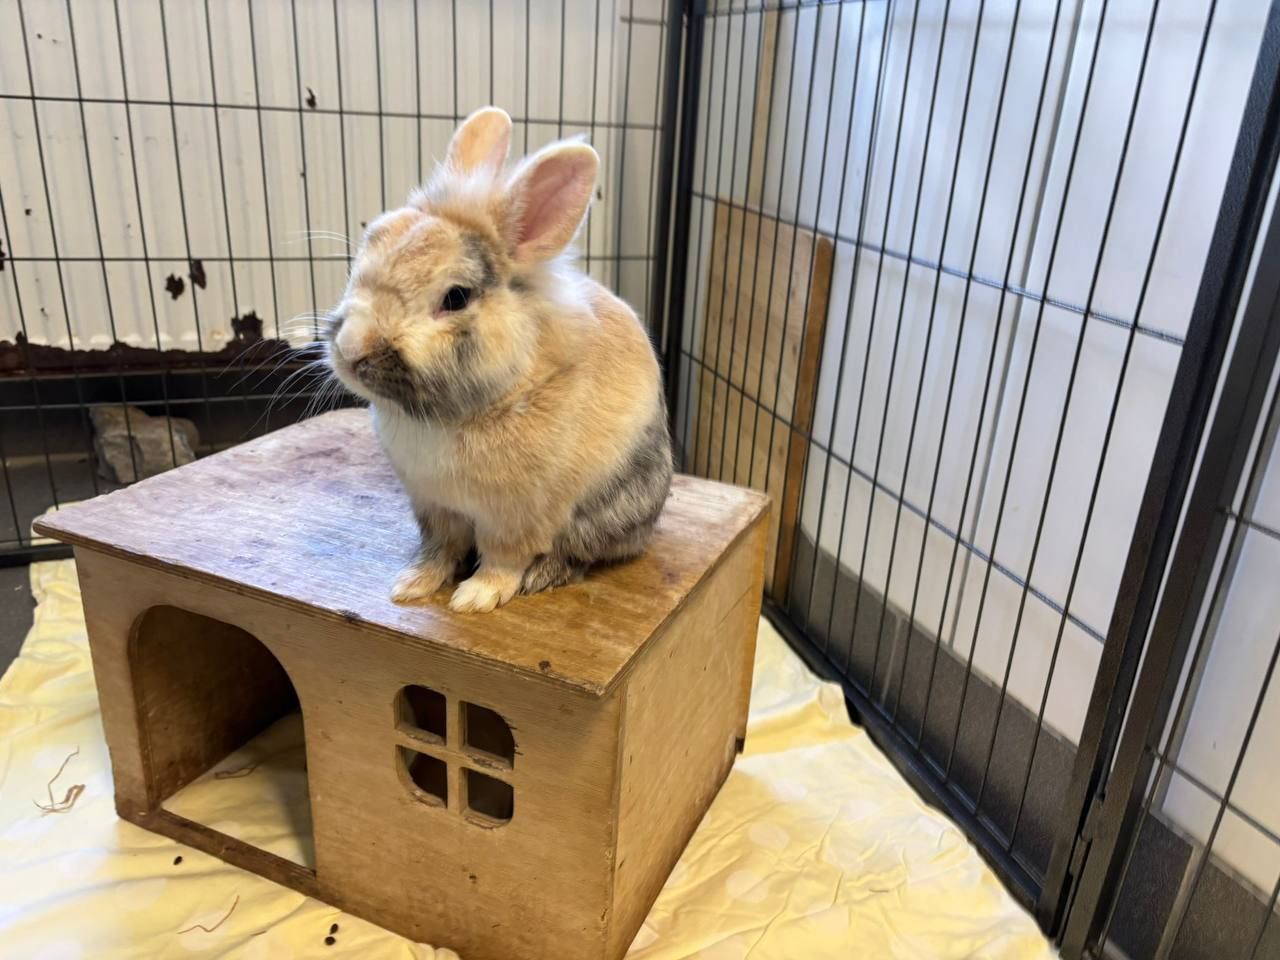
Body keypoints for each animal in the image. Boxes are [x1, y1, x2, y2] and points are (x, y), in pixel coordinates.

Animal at [324, 106, 673, 613]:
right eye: (370, 242)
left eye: (456, 297)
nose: (351, 351)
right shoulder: (435, 509)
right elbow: (439, 550)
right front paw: (411, 585)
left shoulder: (514, 520)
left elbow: (502, 561)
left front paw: (474, 599)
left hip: (605, 511)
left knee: (581, 553)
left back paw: (544, 575)